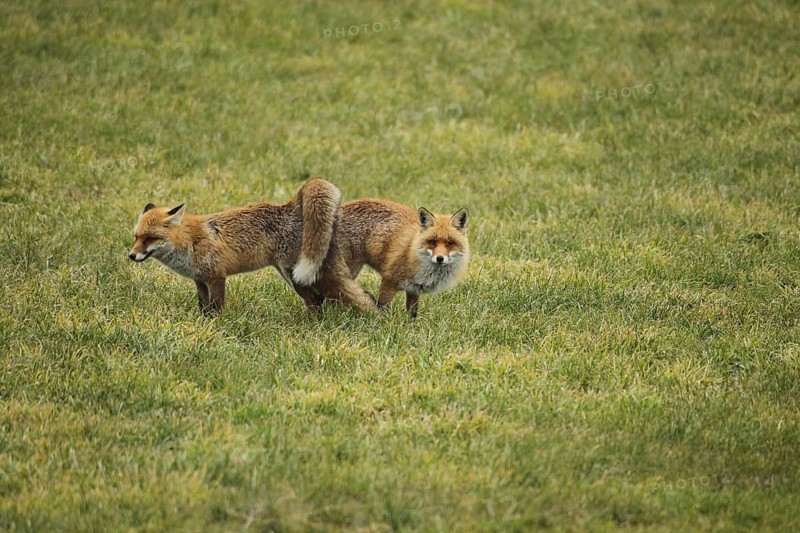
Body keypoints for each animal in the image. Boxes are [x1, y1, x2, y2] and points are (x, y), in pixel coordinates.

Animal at [128, 178, 376, 314]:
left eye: (149, 238)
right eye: (136, 237)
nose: (131, 255)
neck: (190, 241)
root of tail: (291, 205)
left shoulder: (217, 277)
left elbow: (216, 307)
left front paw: (216, 326)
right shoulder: (200, 280)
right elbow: (203, 307)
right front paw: (203, 322)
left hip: (297, 274)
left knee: (319, 299)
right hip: (293, 273)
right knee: (324, 298)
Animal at [334, 199, 469, 318]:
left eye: (450, 243)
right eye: (432, 242)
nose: (440, 258)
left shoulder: (414, 289)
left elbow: (412, 313)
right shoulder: (389, 281)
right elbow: (383, 307)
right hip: (348, 270)